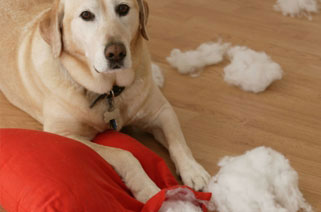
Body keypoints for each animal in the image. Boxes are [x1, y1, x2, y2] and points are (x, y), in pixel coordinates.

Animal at [0, 0, 210, 203]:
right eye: (86, 15)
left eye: (123, 8)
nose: (116, 52)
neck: (110, 91)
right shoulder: (65, 134)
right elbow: (124, 154)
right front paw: (149, 190)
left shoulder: (161, 111)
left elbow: (178, 140)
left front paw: (194, 171)